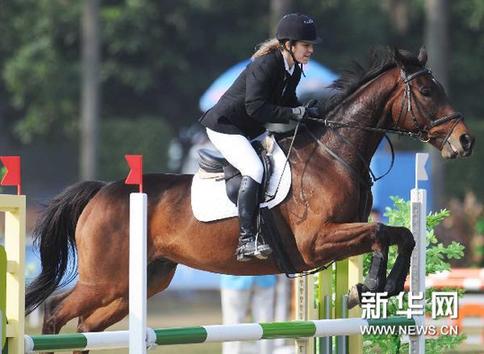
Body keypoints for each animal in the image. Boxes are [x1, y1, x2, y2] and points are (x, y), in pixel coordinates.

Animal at [25, 47, 472, 352]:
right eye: (427, 91)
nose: (464, 141)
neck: (334, 153)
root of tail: (102, 190)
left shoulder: (341, 235)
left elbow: (401, 235)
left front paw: (378, 287)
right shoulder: (316, 242)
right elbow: (381, 232)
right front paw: (372, 285)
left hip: (140, 282)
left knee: (87, 325)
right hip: (105, 279)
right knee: (57, 311)